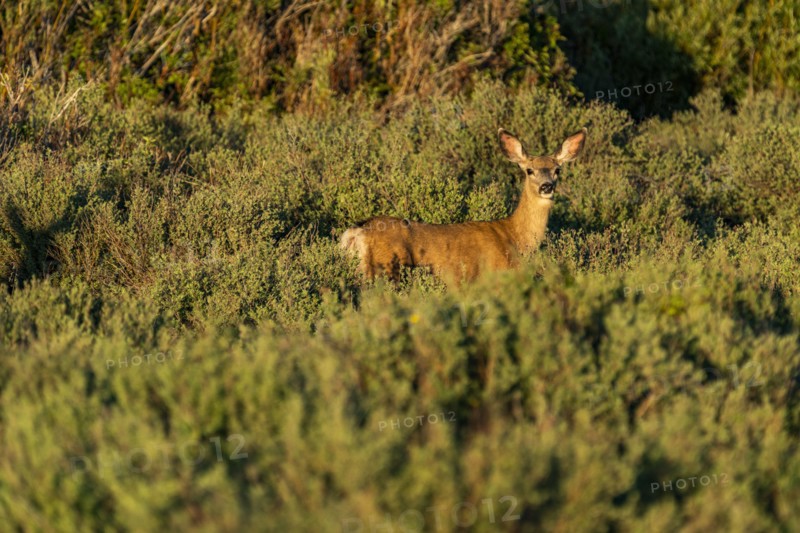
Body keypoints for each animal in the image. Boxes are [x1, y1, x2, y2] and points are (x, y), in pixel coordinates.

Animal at [339, 127, 587, 283]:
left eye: (557, 170)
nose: (546, 186)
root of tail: (357, 232)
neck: (515, 236)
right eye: (529, 170)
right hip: (385, 268)